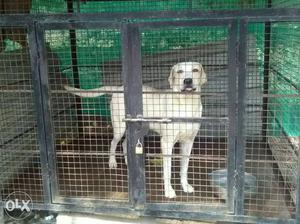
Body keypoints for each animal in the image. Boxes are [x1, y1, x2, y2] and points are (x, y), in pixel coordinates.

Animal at [64, 61, 206, 198]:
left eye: (195, 70)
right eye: (180, 71)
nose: (187, 80)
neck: (187, 104)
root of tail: (119, 88)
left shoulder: (188, 142)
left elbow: (184, 168)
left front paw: (185, 185)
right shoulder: (166, 143)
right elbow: (168, 171)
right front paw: (168, 191)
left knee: (124, 143)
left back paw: (129, 163)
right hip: (120, 128)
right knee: (113, 143)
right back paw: (112, 162)